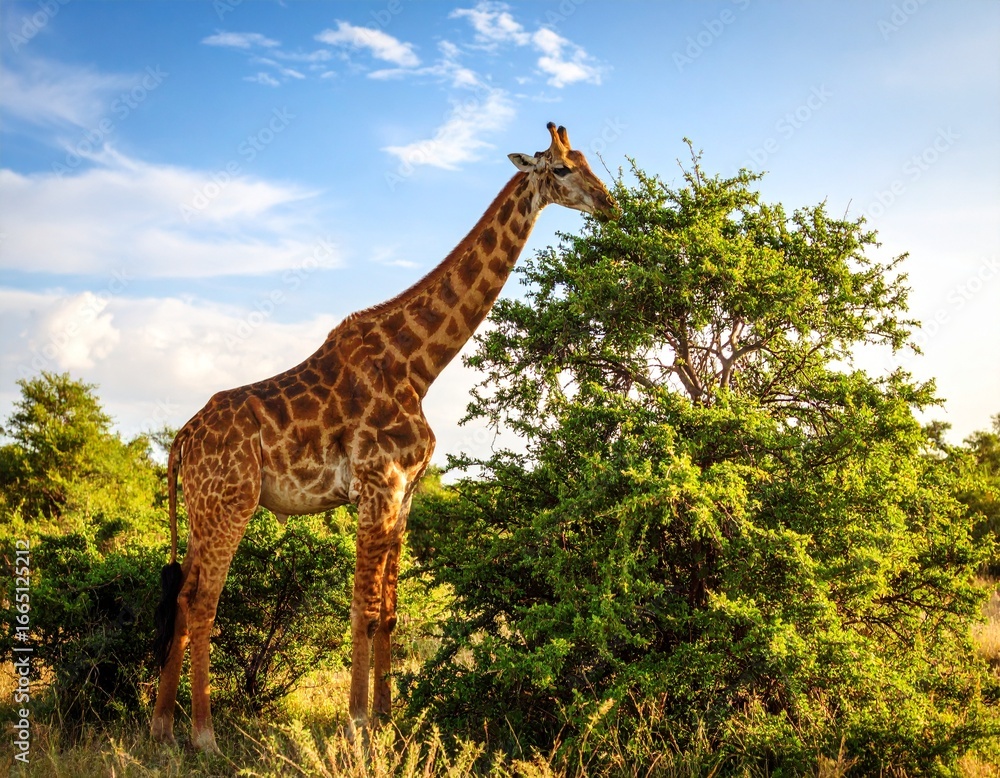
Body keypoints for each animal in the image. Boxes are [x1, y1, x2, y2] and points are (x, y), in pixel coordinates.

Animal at [150, 122, 618, 752]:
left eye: (588, 160)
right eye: (563, 169)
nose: (612, 205)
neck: (418, 363)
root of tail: (181, 440)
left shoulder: (407, 493)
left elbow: (391, 613)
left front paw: (389, 722)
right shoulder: (376, 486)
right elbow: (362, 610)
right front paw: (356, 725)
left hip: (204, 511)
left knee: (181, 597)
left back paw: (161, 727)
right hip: (230, 504)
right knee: (203, 602)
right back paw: (203, 735)